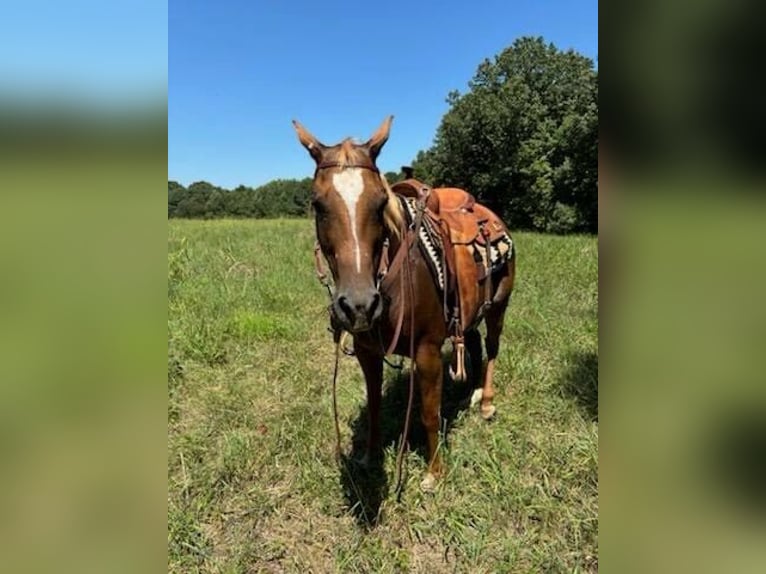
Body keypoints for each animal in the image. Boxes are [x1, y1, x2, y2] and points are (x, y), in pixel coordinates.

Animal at [292, 116, 516, 490]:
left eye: (381, 202)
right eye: (318, 204)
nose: (359, 306)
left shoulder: (426, 351)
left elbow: (428, 413)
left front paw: (434, 472)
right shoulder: (367, 353)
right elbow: (374, 407)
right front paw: (369, 458)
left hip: (499, 306)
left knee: (493, 347)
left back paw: (486, 402)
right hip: (468, 312)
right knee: (471, 342)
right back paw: (468, 394)